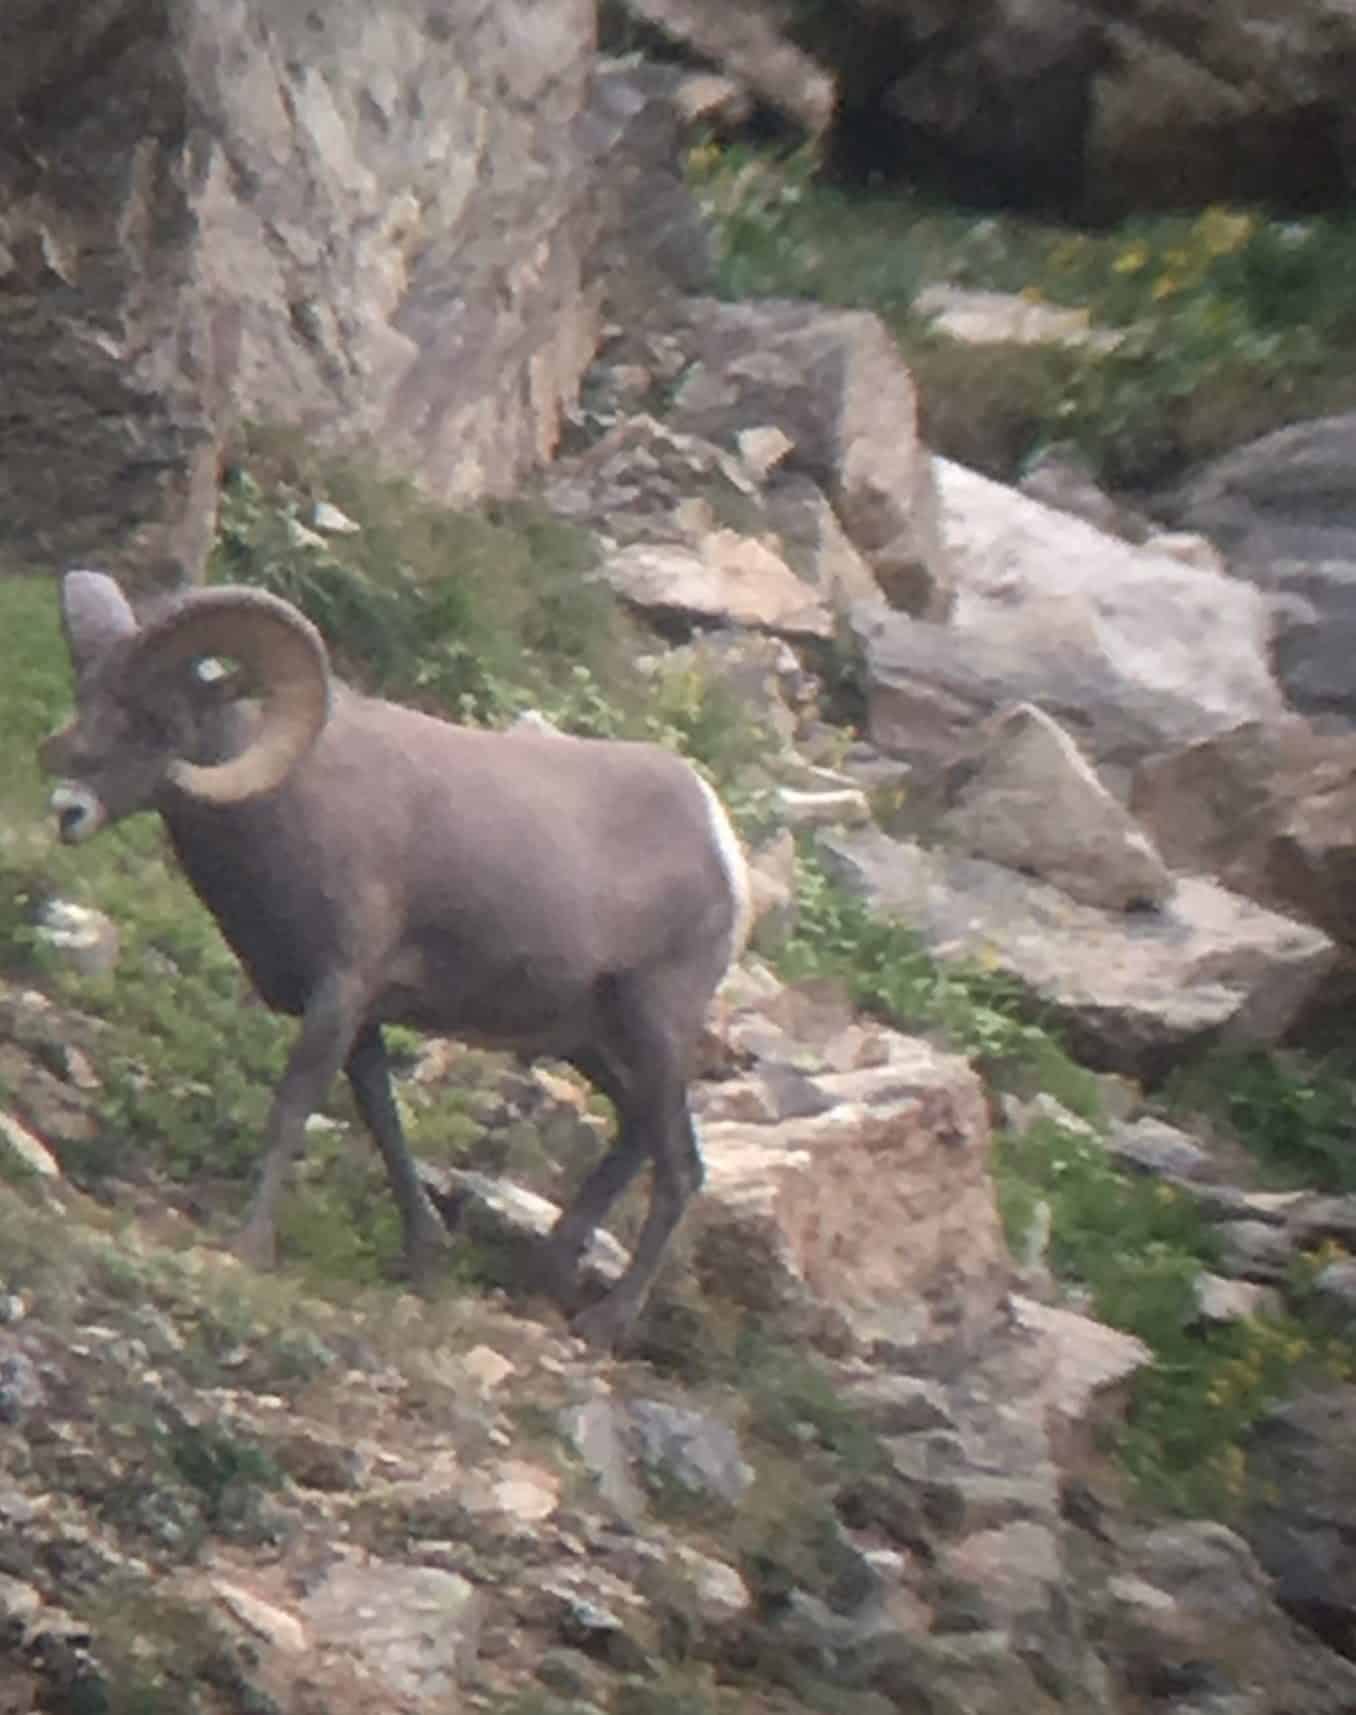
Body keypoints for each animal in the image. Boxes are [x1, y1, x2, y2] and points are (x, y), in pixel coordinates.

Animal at [40, 569, 751, 1349]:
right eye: (86, 693)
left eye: (155, 720)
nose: (68, 809)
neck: (284, 806)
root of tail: (718, 838)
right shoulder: (362, 1018)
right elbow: (381, 1116)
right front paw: (426, 1256)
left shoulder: (339, 992)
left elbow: (294, 1105)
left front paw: (248, 1245)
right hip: (589, 1039)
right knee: (636, 1133)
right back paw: (548, 1268)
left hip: (653, 1027)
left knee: (680, 1167)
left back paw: (603, 1321)